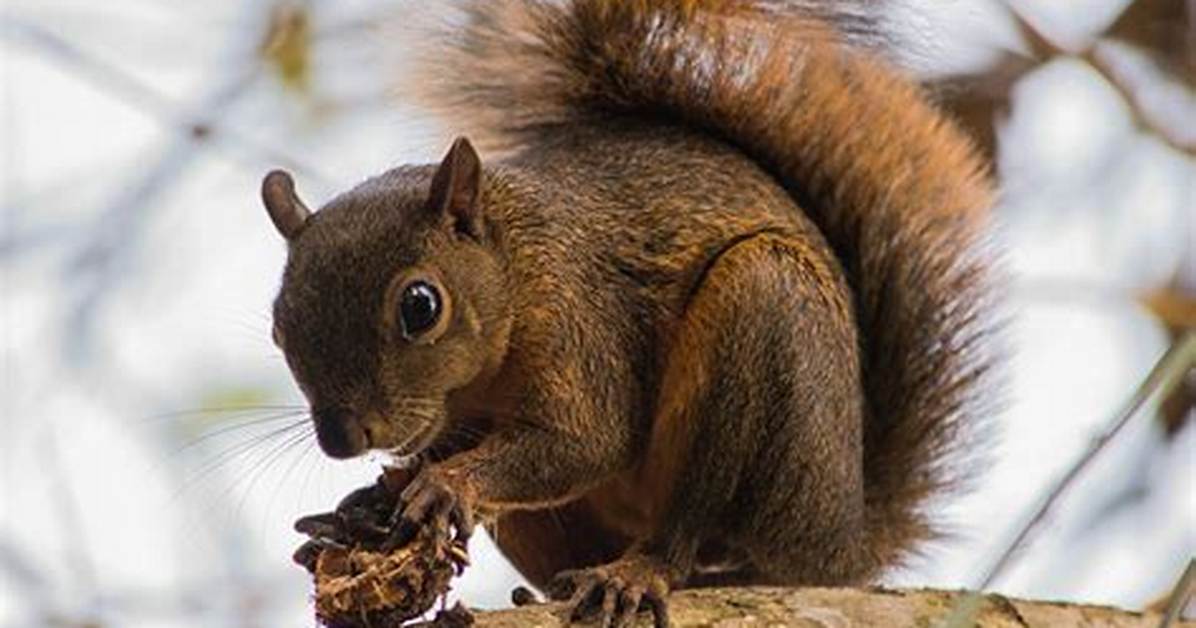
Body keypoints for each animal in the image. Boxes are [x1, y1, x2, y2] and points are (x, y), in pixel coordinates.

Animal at [261, 1, 997, 626]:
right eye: (277, 325)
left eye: (421, 306)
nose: (342, 439)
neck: (518, 269)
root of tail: (841, 549)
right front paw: (366, 506)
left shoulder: (583, 323)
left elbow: (586, 441)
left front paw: (445, 484)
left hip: (763, 323)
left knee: (692, 530)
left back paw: (639, 573)